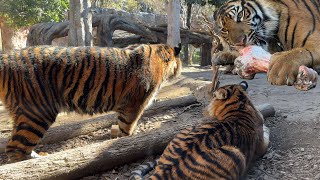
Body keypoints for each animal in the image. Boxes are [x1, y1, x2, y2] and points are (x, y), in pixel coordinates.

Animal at [0, 43, 181, 162]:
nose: (179, 70)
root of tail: (8, 57)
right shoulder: (134, 106)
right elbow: (127, 127)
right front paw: (126, 142)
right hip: (38, 113)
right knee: (15, 148)